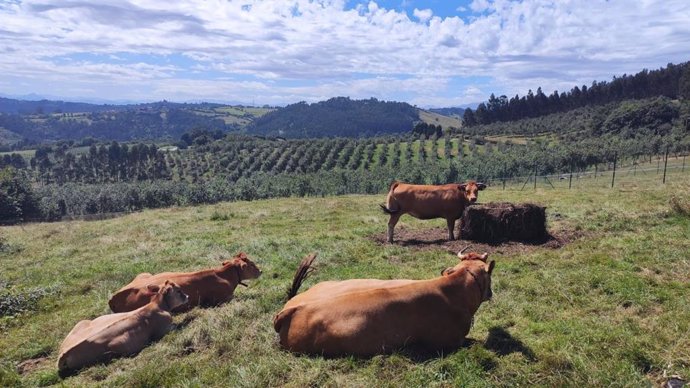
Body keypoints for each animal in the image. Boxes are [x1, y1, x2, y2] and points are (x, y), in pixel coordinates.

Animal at [57, 280, 187, 374]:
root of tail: (63, 353)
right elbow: (178, 325)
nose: (187, 296)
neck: (159, 305)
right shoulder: (165, 329)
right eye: (178, 290)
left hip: (81, 322)